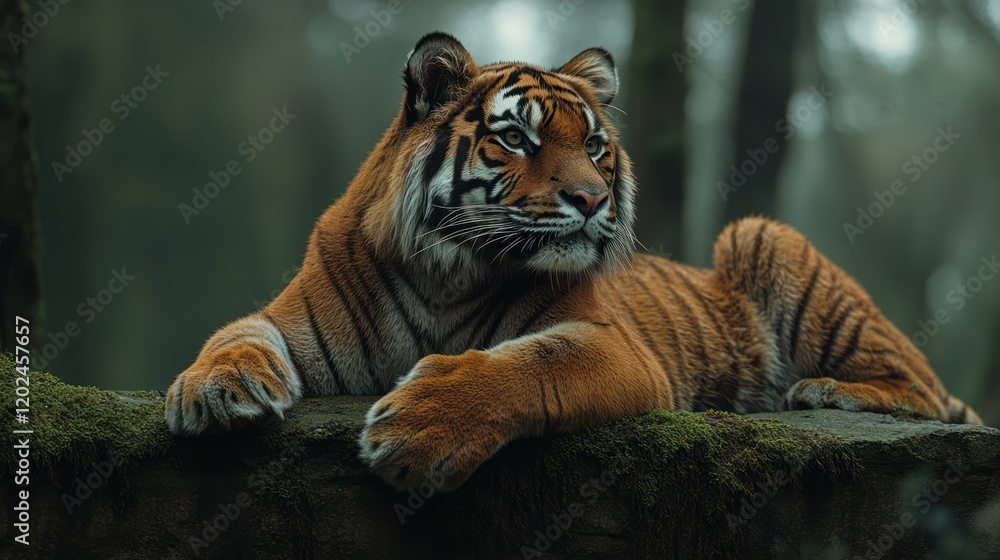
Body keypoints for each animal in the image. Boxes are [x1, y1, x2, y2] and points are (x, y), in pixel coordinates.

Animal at [164, 32, 982, 492]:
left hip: (758, 236)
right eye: (517, 140)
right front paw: (208, 391)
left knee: (925, 387)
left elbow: (531, 364)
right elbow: (235, 334)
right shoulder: (292, 318)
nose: (591, 199)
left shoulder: (616, 346)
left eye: (593, 145)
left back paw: (822, 392)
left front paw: (418, 426)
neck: (445, 272)